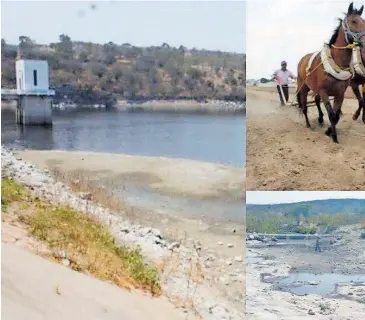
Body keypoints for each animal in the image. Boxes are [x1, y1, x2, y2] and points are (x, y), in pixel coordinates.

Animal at [296, 2, 364, 142]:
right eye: (354, 21)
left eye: (364, 21)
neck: (336, 63)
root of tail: (302, 59)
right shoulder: (324, 92)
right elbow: (332, 114)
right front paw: (334, 137)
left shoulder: (340, 93)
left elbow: (336, 115)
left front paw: (330, 132)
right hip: (303, 87)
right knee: (304, 107)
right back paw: (308, 125)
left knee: (315, 101)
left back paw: (320, 120)